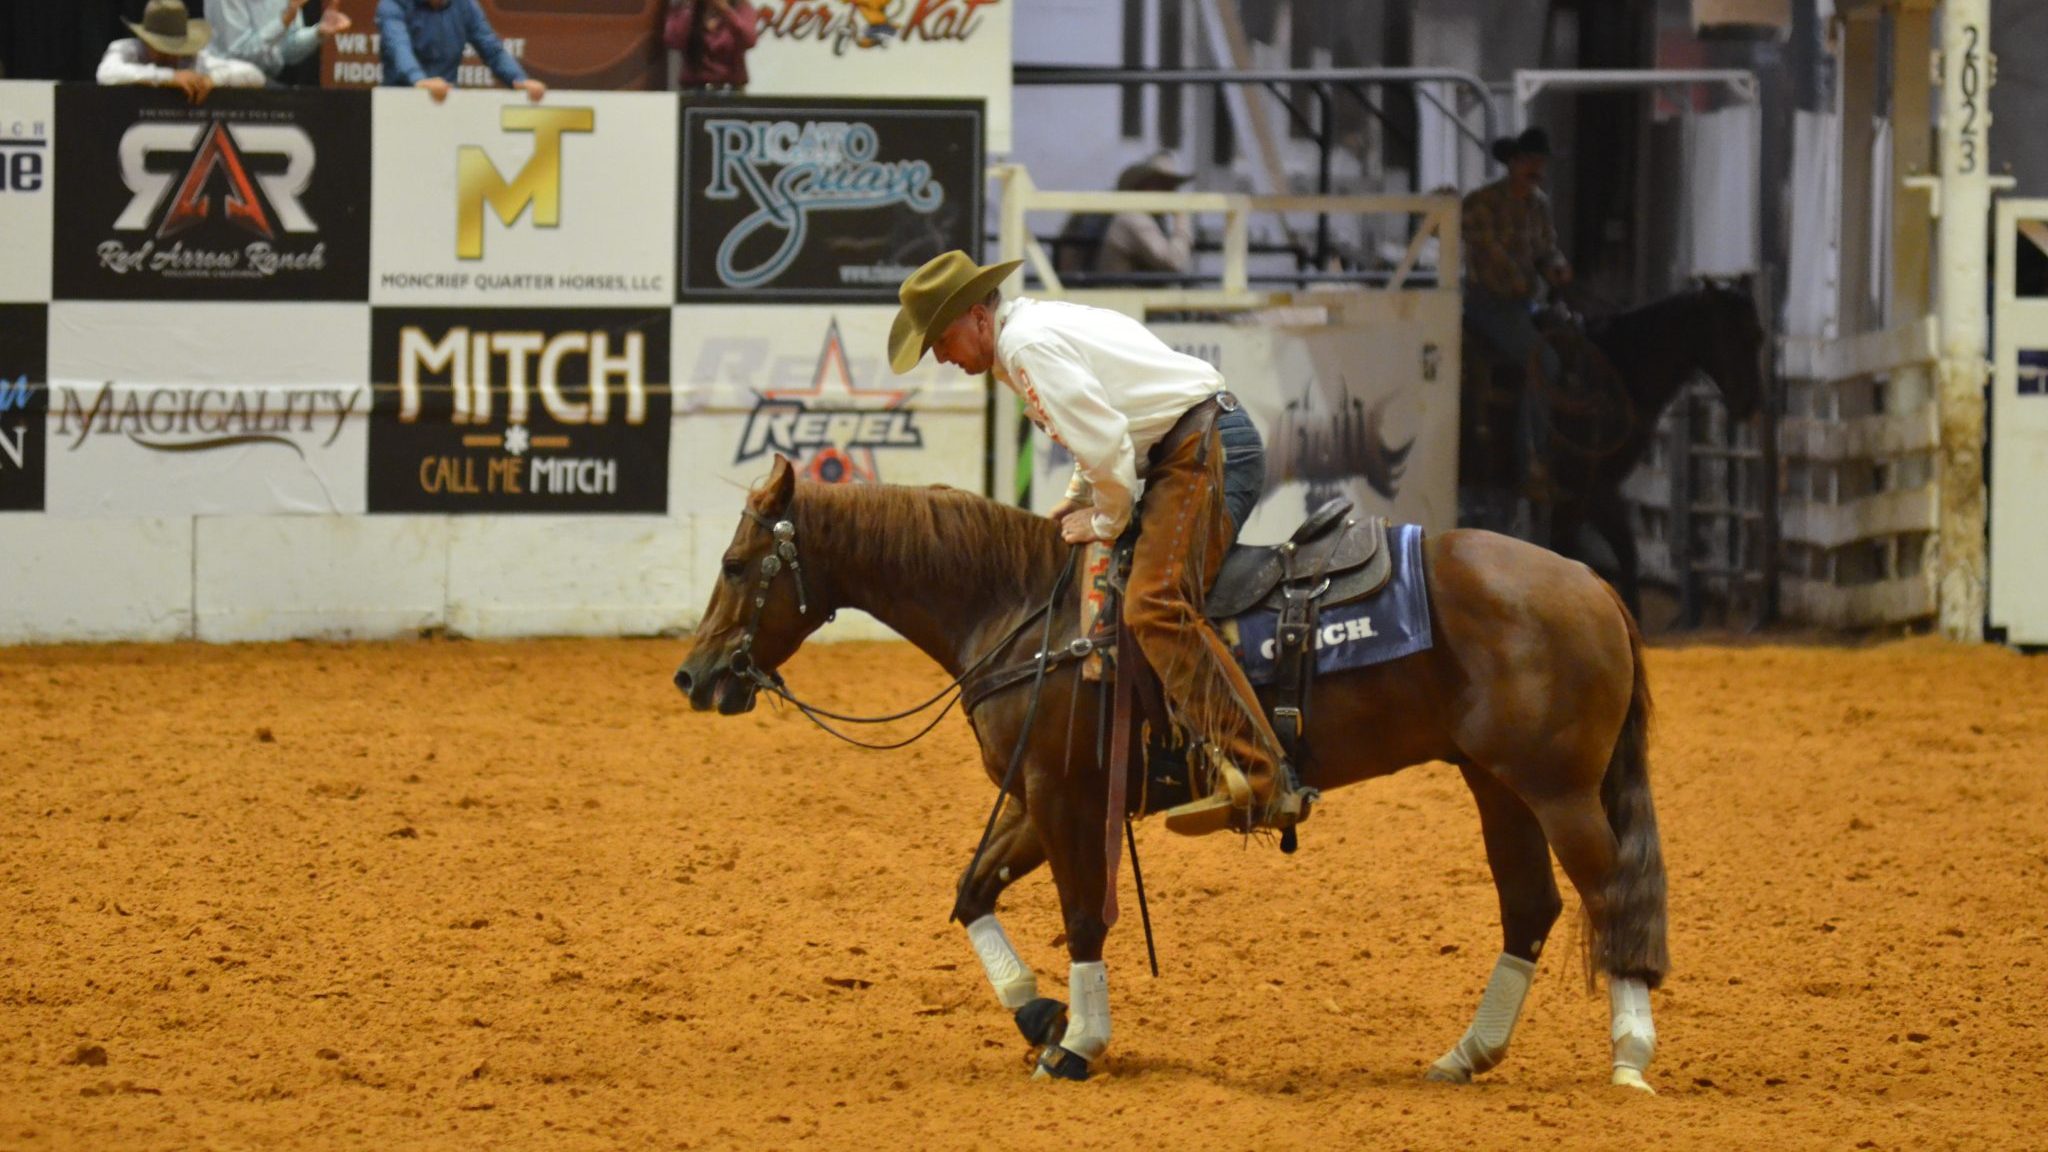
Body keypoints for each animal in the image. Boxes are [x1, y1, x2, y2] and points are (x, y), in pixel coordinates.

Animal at [679, 455, 1671, 1082]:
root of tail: (1591, 583)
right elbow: (970, 892)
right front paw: (1038, 1016)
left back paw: (1629, 1060)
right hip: (1496, 784)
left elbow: (1082, 916)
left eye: (735, 561)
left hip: (1557, 789)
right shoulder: (1036, 800)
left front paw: (1077, 1043)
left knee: (1608, 894)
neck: (1028, 612)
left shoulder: (1064, 797)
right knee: (1532, 908)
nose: (693, 675)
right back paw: (1466, 1056)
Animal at [1458, 278, 1777, 614]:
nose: (1751, 403)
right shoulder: (1586, 491)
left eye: (1757, 334)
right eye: (1746, 333)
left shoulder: (1589, 495)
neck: (1617, 370)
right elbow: (1616, 552)